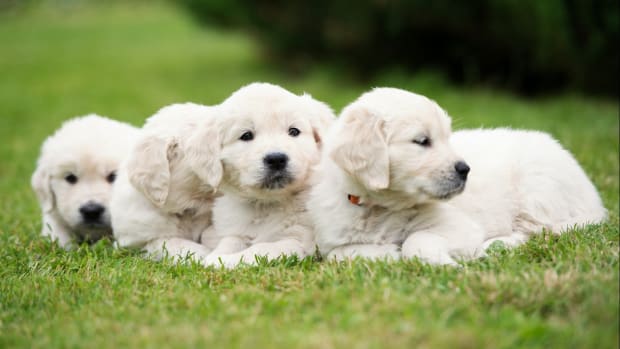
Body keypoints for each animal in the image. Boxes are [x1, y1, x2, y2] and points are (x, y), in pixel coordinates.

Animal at [188, 83, 336, 268]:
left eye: (294, 131)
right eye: (246, 135)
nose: (276, 159)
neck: (268, 204)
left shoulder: (300, 239)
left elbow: (260, 248)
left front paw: (226, 261)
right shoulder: (239, 230)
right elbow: (230, 241)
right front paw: (216, 256)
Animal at [310, 87, 604, 264]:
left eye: (447, 137)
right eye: (422, 141)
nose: (465, 169)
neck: (382, 207)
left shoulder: (459, 226)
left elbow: (416, 241)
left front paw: (443, 263)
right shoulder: (332, 237)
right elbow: (339, 254)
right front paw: (385, 252)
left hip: (537, 187)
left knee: (536, 230)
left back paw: (495, 245)